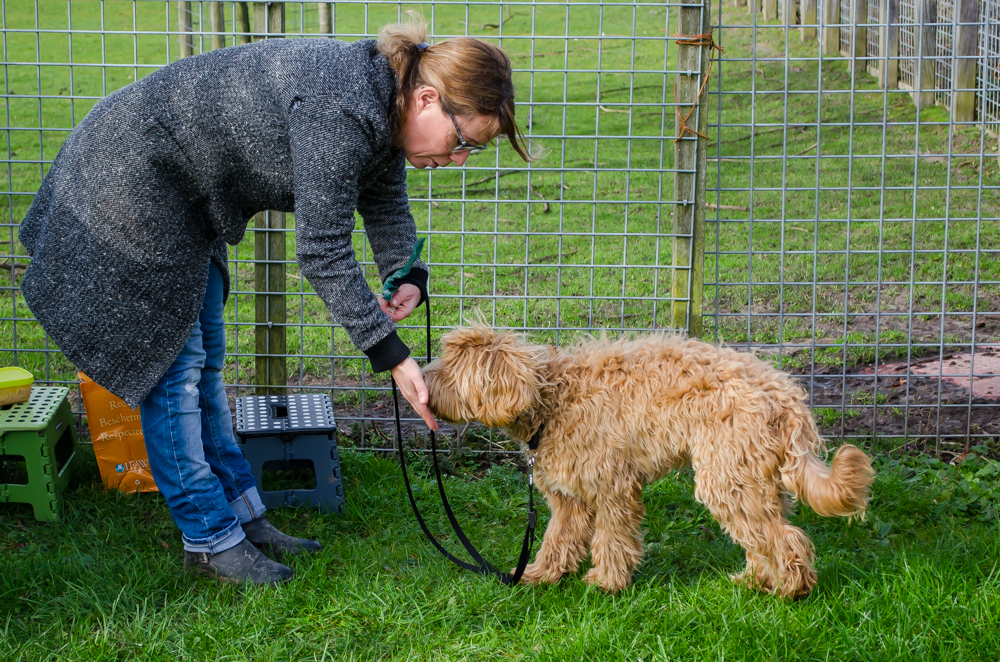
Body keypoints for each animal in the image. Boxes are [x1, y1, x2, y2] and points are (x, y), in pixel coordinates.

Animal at [424, 328, 876, 600]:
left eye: (449, 368)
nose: (419, 381)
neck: (552, 396)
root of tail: (783, 392)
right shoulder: (570, 497)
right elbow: (557, 540)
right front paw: (540, 575)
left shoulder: (612, 487)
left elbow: (611, 539)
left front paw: (606, 583)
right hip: (751, 478)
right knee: (766, 536)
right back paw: (756, 580)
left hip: (727, 476)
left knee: (785, 539)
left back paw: (790, 590)